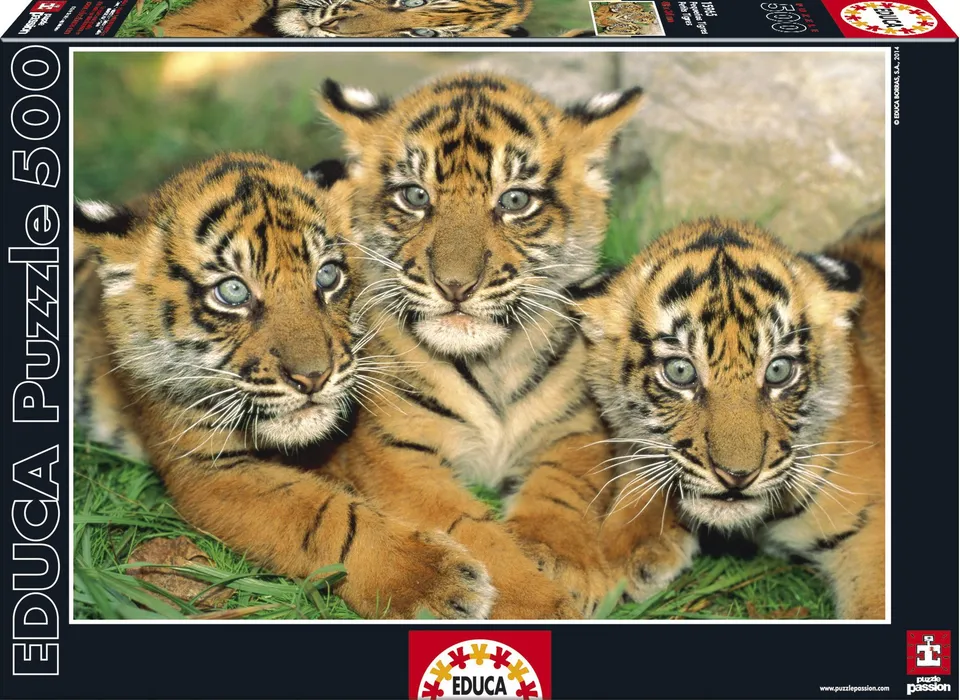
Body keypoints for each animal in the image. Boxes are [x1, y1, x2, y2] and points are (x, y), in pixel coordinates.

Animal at [74, 152, 497, 619]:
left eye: (327, 276)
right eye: (233, 291)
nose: (313, 376)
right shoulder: (205, 469)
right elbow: (324, 516)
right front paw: (433, 581)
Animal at [313, 72, 644, 618]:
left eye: (514, 201)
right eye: (415, 196)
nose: (454, 285)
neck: (493, 362)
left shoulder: (575, 429)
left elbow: (563, 491)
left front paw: (563, 559)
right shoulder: (394, 452)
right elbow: (469, 529)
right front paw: (539, 602)